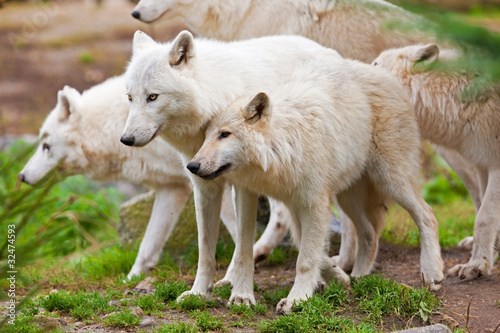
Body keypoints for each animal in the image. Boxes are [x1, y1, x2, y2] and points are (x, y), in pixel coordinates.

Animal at [17, 74, 290, 278]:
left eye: (46, 146)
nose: (21, 176)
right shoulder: (173, 188)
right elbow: (147, 245)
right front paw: (132, 279)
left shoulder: (212, 180)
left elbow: (236, 229)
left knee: (280, 214)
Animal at [120, 29, 348, 308]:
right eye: (130, 98)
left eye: (152, 97)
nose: (126, 139)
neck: (214, 101)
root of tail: (331, 52)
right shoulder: (204, 185)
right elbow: (206, 248)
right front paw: (199, 292)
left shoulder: (244, 186)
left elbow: (241, 245)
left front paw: (241, 295)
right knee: (284, 216)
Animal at [372, 43, 500, 278]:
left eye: (376, 64)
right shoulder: (482, 163)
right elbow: (482, 209)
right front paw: (486, 257)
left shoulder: (495, 165)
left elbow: (484, 218)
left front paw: (477, 265)